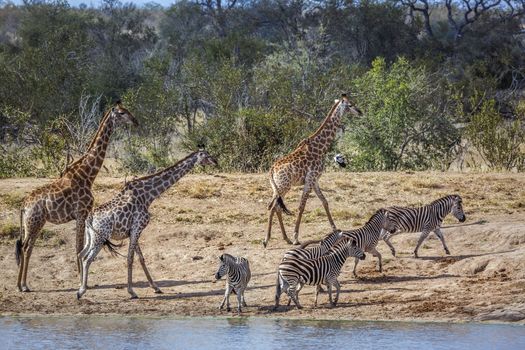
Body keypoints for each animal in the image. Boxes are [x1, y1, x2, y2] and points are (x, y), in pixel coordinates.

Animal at [15, 101, 137, 292]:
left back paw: (21, 285)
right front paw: (81, 281)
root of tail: (24, 206)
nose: (136, 121)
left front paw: (83, 280)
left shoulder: (84, 215)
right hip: (35, 222)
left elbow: (80, 247)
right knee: (26, 247)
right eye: (122, 113)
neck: (87, 175)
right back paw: (24, 286)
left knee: (25, 247)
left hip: (32, 224)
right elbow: (79, 247)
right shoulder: (81, 213)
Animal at [75, 149, 217, 300]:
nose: (215, 161)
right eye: (207, 155)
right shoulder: (137, 227)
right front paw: (132, 291)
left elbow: (141, 258)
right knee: (87, 259)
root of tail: (90, 218)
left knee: (81, 254)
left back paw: (81, 286)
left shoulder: (133, 231)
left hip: (91, 236)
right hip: (100, 237)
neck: (148, 196)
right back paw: (81, 291)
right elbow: (130, 259)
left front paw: (156, 287)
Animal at [264, 93, 362, 246]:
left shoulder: (315, 180)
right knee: (273, 206)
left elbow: (324, 201)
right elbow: (301, 207)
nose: (360, 112)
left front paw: (335, 229)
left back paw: (285, 238)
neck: (320, 147)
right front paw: (296, 237)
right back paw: (267, 239)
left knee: (276, 206)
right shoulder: (310, 179)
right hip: (284, 186)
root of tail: (272, 170)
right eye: (350, 105)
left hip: (279, 188)